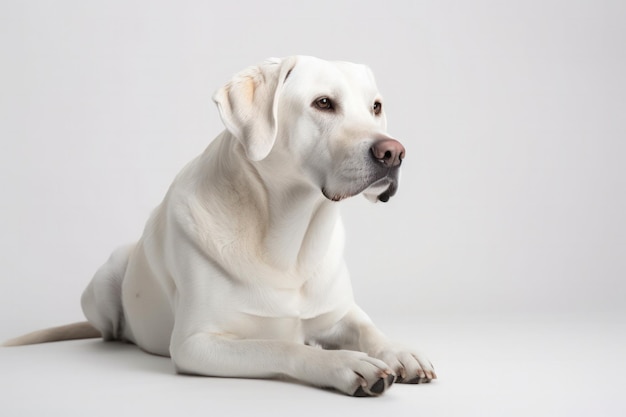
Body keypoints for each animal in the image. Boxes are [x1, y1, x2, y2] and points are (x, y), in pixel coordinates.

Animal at [4, 56, 434, 396]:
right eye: (323, 103)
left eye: (376, 107)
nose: (393, 153)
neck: (288, 239)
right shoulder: (196, 343)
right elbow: (281, 346)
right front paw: (344, 362)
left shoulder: (340, 311)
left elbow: (368, 328)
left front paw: (400, 351)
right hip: (107, 277)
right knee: (111, 331)